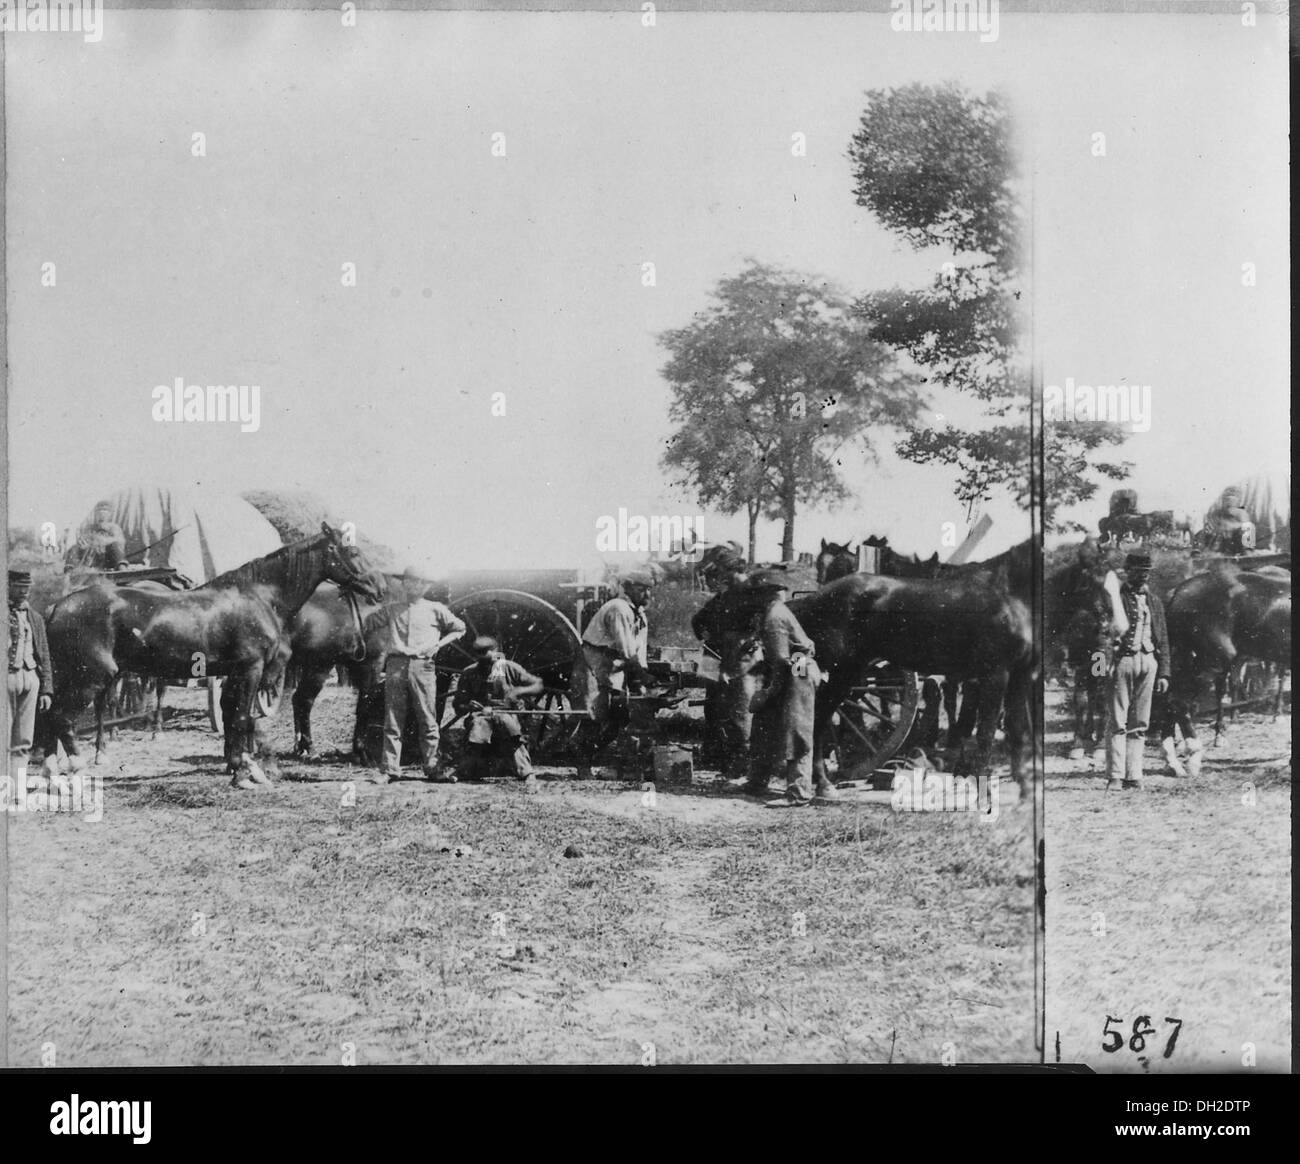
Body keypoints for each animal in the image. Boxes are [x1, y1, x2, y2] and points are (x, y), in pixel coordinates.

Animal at [45, 525, 379, 780]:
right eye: (352, 552)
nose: (377, 588)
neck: (258, 596)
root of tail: (57, 607)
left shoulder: (233, 673)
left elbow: (232, 715)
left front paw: (235, 764)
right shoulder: (250, 669)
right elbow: (242, 717)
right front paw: (245, 772)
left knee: (49, 716)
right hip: (90, 678)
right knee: (62, 719)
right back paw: (78, 766)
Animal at [696, 569, 1040, 795]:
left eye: (741, 589)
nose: (699, 621)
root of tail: (813, 599)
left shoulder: (1019, 676)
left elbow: (1018, 729)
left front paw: (1025, 784)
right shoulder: (994, 675)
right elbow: (986, 732)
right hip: (843, 674)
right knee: (820, 719)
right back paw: (822, 785)